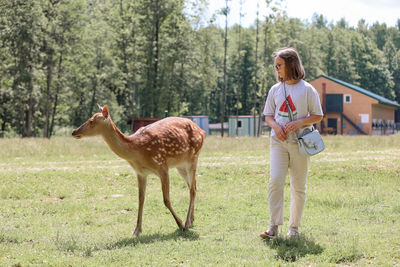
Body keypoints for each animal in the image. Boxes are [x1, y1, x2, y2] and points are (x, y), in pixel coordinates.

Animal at [71, 105, 206, 236]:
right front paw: (136, 230)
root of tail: (202, 131)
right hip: (180, 165)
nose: (74, 132)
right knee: (193, 185)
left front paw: (180, 224)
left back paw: (187, 223)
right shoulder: (140, 173)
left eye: (91, 121)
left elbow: (166, 200)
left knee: (192, 189)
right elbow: (141, 199)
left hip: (194, 156)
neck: (138, 150)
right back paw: (192, 219)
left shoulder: (162, 166)